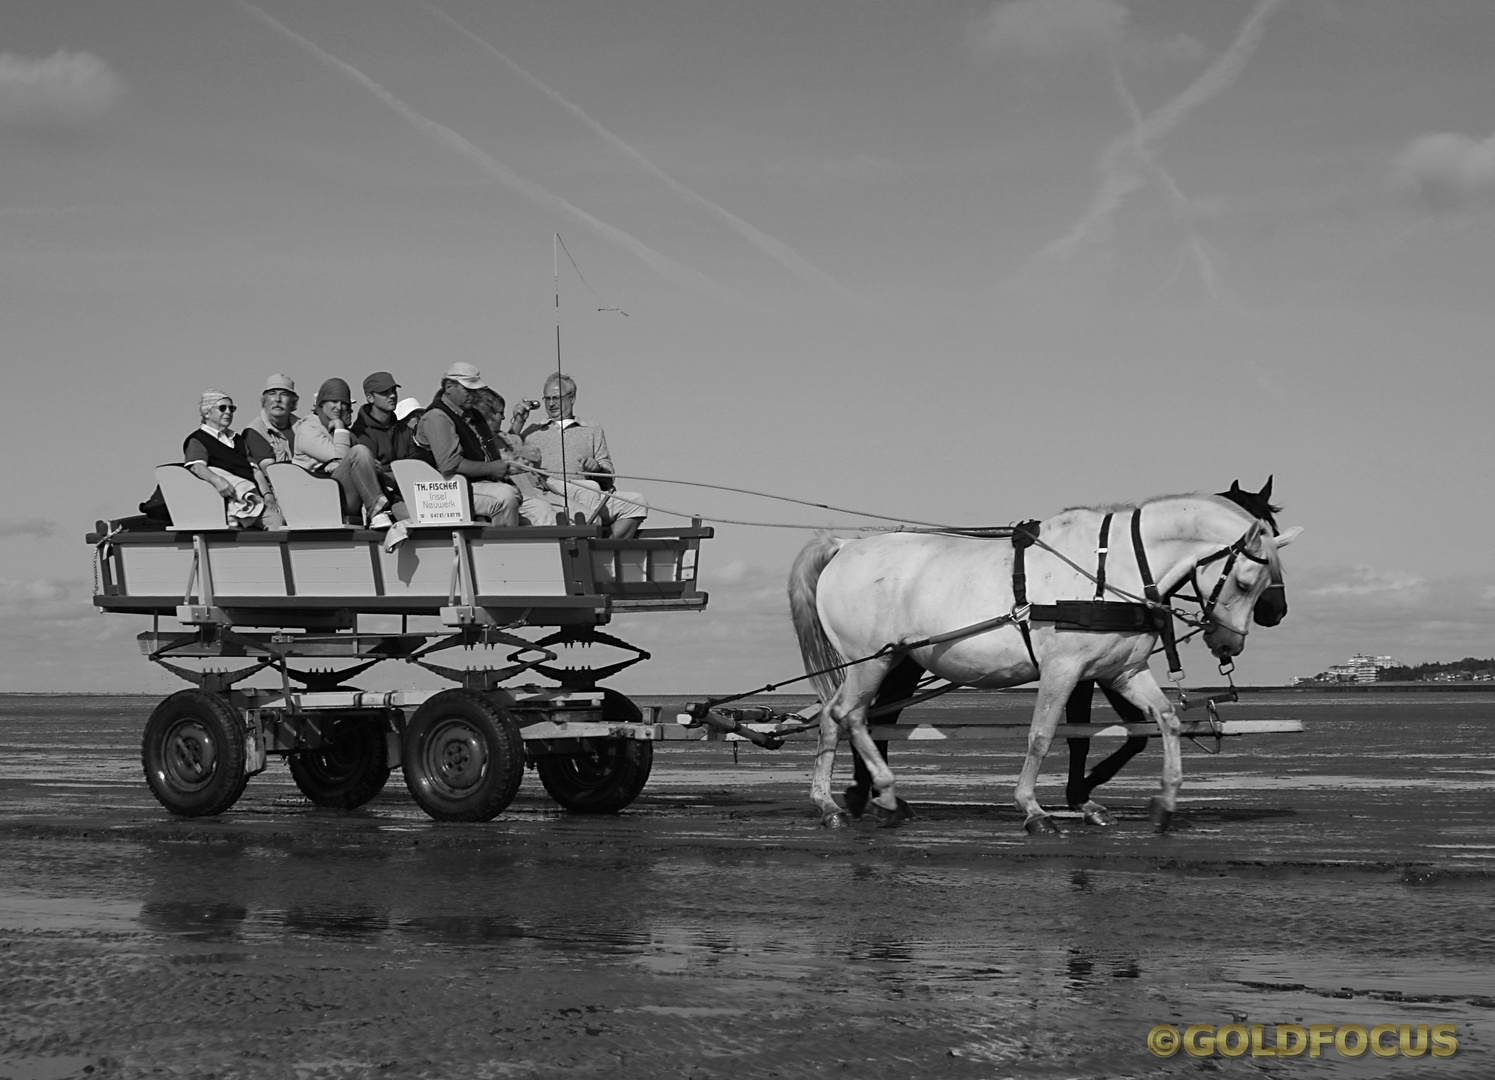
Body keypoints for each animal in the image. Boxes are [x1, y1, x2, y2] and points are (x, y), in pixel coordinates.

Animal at [795, 493, 1297, 831]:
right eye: (1246, 581)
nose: (1230, 644)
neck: (1109, 571)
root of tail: (844, 546)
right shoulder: (1064, 670)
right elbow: (1043, 735)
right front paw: (1034, 808)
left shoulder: (1122, 672)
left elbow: (1166, 720)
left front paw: (1165, 800)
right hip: (872, 661)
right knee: (850, 715)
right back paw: (878, 792)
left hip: (884, 662)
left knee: (834, 716)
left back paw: (833, 803)